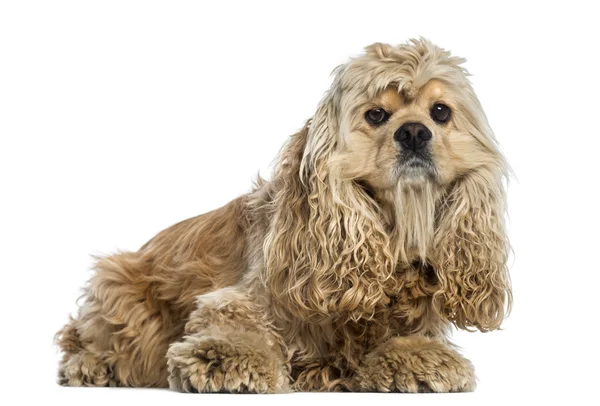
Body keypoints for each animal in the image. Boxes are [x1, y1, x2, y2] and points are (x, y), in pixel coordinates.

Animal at [56, 39, 510, 392]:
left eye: (440, 112)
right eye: (376, 115)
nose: (414, 132)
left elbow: (406, 335)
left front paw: (419, 357)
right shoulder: (253, 294)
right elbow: (234, 318)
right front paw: (224, 355)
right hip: (120, 291)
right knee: (83, 337)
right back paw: (92, 365)